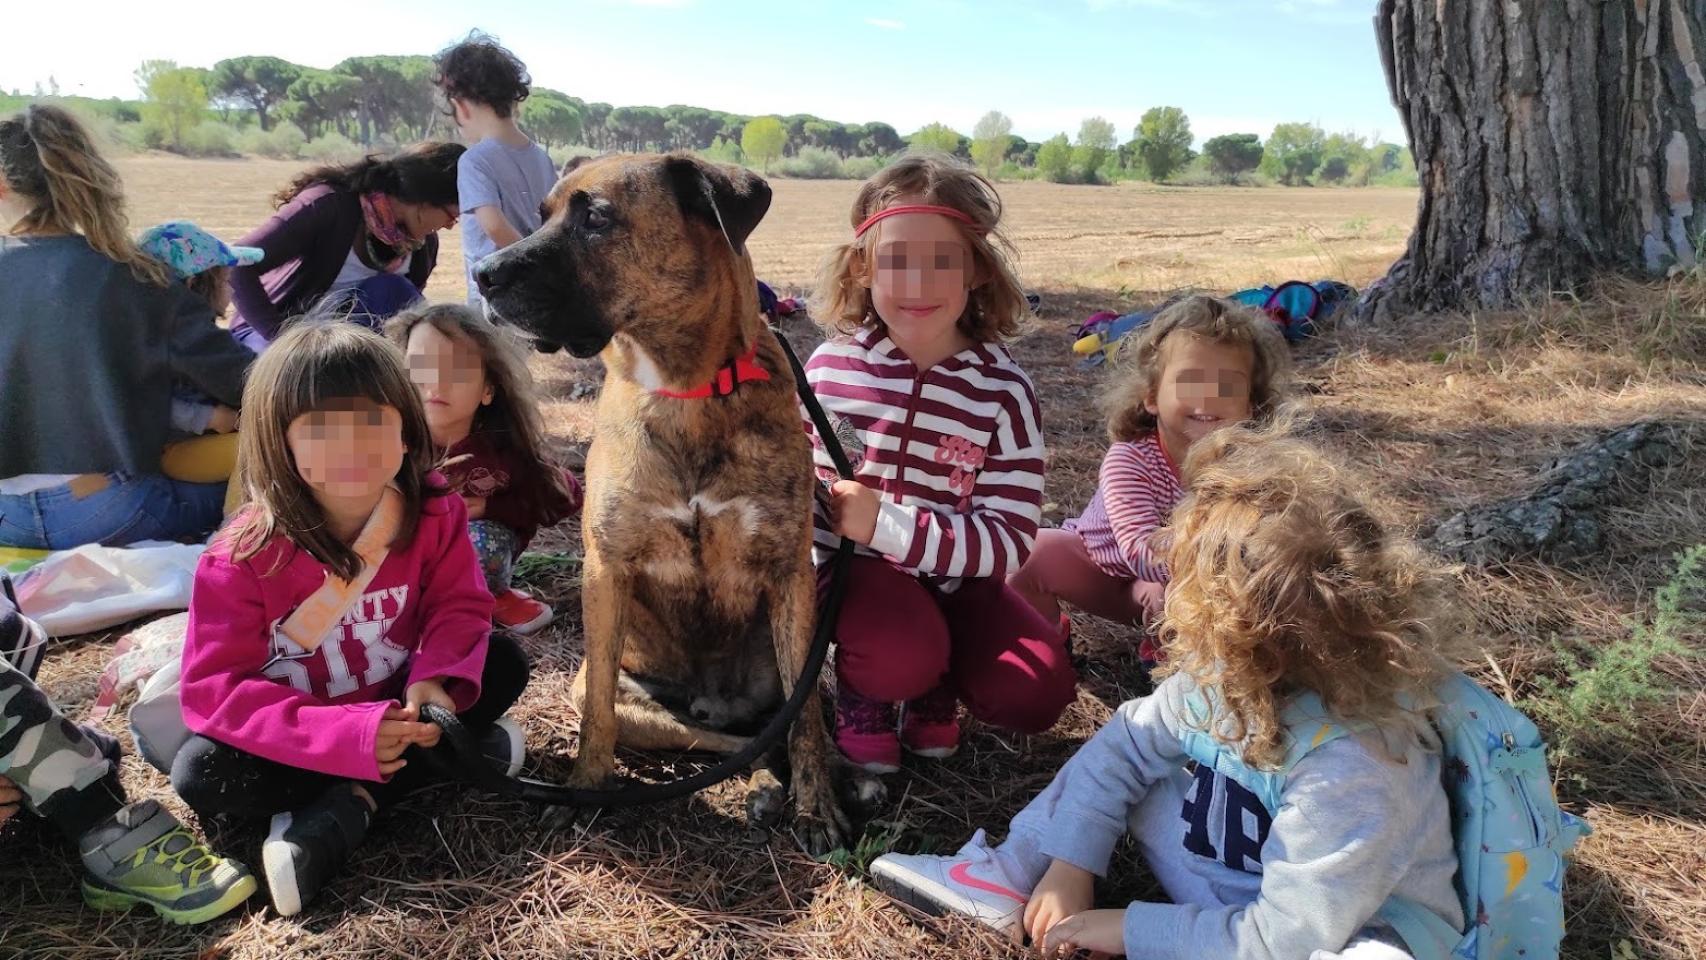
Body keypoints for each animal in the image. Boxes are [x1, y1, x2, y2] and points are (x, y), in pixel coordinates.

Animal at [477, 154, 849, 852]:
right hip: (628, 699)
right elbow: (598, 711)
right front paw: (586, 791)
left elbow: (806, 719)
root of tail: (711, 698)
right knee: (725, 741)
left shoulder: (790, 573)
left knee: (773, 726)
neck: (686, 388)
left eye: (596, 218)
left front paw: (818, 809)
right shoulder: (606, 570)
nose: (484, 273)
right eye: (541, 214)